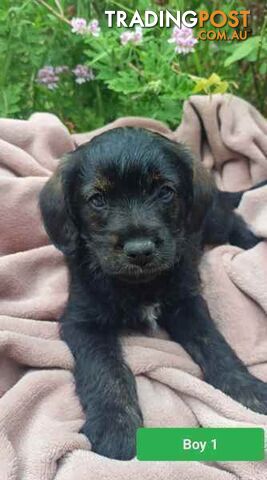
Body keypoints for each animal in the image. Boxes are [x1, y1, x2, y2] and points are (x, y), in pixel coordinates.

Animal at [39, 127, 267, 462]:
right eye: (97, 200)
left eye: (165, 191)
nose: (140, 250)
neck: (139, 284)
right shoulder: (82, 321)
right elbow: (104, 368)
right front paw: (115, 424)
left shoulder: (187, 302)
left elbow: (214, 344)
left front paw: (246, 388)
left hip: (211, 221)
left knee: (233, 221)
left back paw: (250, 245)